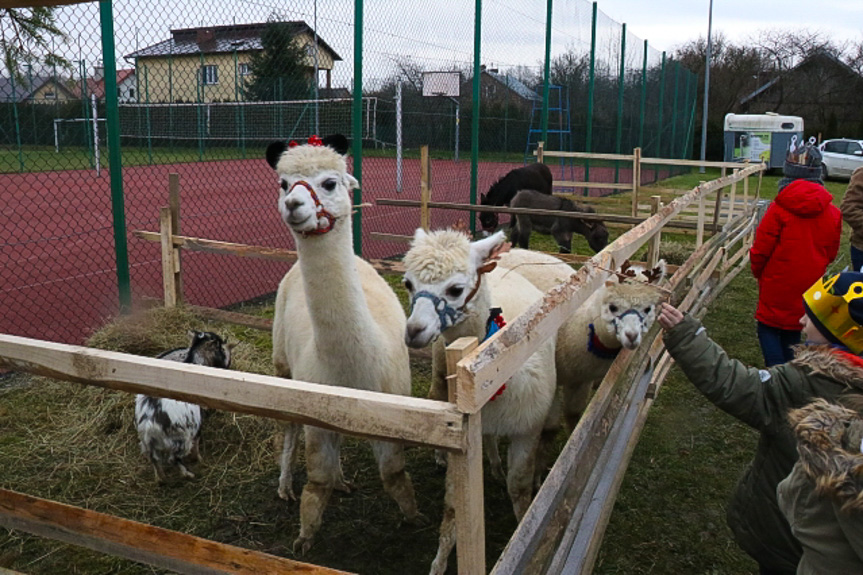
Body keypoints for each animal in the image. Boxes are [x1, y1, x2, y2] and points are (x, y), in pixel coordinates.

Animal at [134, 330, 231, 484]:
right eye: (221, 348)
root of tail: (150, 423)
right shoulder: (198, 424)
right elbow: (197, 442)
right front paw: (198, 459)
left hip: (147, 444)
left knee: (154, 460)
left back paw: (161, 479)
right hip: (180, 441)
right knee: (173, 459)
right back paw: (188, 474)